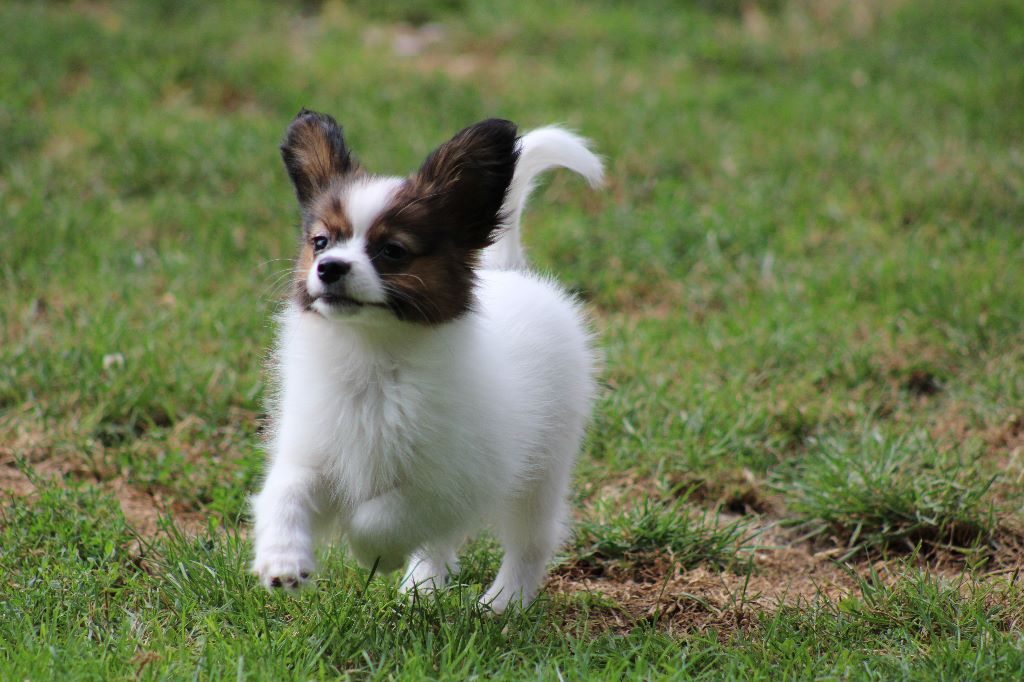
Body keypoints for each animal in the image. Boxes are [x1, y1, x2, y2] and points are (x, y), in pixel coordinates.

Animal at [250, 107, 598, 610]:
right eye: (320, 242)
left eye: (392, 251)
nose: (329, 268)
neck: (373, 356)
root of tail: (508, 271)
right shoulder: (314, 451)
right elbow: (284, 493)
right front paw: (282, 561)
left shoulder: (447, 481)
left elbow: (383, 515)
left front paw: (372, 551)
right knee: (439, 545)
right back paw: (422, 587)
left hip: (542, 471)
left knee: (530, 542)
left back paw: (503, 604)